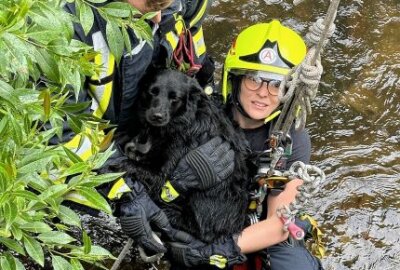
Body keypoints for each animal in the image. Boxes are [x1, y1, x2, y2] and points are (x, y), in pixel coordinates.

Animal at [115, 69, 250, 243]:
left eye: (175, 98)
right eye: (152, 92)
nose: (157, 116)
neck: (183, 120)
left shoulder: (164, 169)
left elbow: (135, 166)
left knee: (202, 230)